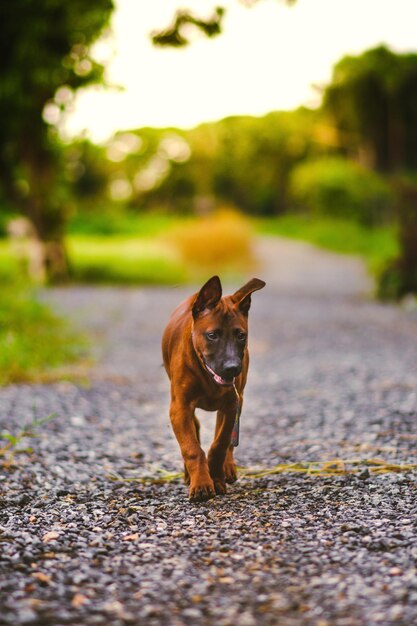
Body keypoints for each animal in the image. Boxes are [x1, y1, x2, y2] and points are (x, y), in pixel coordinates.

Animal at [161, 276, 264, 500]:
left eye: (241, 335)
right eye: (212, 335)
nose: (232, 368)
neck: (207, 377)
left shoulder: (231, 405)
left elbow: (219, 445)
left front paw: (216, 479)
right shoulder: (180, 408)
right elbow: (192, 448)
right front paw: (201, 483)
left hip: (238, 400)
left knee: (227, 440)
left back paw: (227, 468)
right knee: (196, 428)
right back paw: (189, 474)